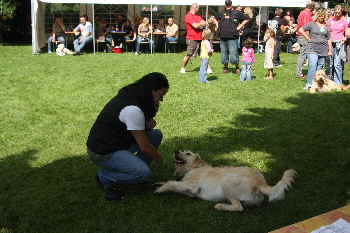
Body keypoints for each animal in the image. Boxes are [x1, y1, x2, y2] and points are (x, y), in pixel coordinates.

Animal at [154, 150, 296, 212]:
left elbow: (171, 182)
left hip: (227, 183)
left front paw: (160, 189)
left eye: (188, 153)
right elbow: (171, 183)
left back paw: (220, 206)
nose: (176, 151)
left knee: (239, 207)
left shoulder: (192, 186)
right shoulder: (186, 189)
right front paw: (159, 184)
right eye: (182, 151)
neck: (194, 168)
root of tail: (261, 183)